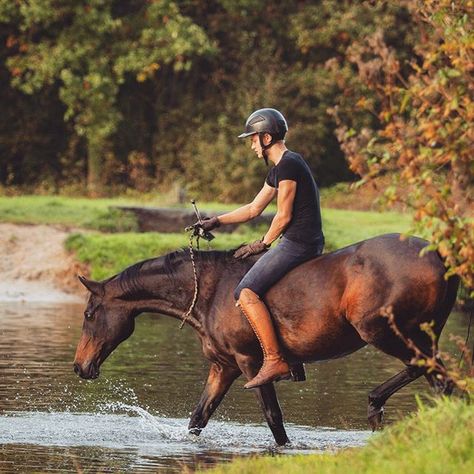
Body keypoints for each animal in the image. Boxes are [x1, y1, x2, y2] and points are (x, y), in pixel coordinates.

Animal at [73, 233, 460, 444]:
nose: (79, 367)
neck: (210, 292)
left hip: (384, 330)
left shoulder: (250, 363)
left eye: (89, 314)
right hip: (417, 333)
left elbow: (273, 418)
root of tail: (438, 254)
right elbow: (198, 418)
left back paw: (375, 405)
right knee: (439, 378)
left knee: (431, 371)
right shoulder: (223, 367)